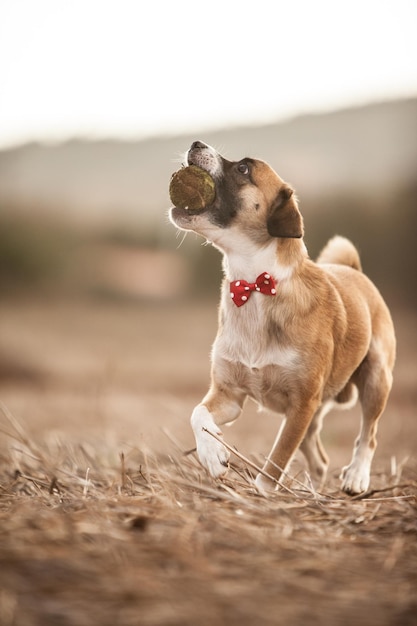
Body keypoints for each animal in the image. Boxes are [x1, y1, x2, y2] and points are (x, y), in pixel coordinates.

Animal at [168, 140, 394, 492]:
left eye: (243, 168)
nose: (196, 143)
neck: (254, 285)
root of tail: (354, 270)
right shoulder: (230, 395)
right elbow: (197, 414)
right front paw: (212, 454)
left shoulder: (301, 405)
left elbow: (275, 463)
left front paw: (259, 494)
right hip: (315, 412)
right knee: (319, 458)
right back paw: (313, 491)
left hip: (375, 379)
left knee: (368, 434)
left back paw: (357, 476)